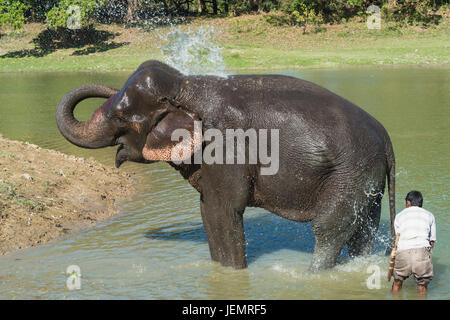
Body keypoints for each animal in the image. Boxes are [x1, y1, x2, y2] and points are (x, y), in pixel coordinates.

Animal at [55, 59, 394, 270]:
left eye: (119, 118)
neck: (185, 85)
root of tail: (387, 140)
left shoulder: (225, 148)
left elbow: (223, 210)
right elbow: (207, 212)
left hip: (350, 173)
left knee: (328, 227)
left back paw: (311, 275)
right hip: (368, 178)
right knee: (363, 226)